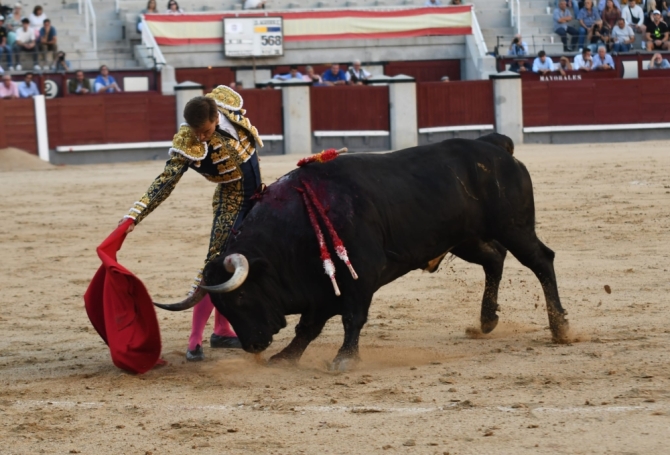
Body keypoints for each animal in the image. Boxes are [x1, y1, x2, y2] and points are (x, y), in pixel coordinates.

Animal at [159, 135, 572, 370]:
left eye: (242, 300)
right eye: (224, 306)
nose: (253, 346)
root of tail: (497, 148)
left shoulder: (358, 276)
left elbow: (351, 318)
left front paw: (344, 359)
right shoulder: (321, 287)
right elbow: (308, 327)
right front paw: (286, 357)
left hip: (514, 226)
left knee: (541, 260)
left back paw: (560, 328)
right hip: (465, 238)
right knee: (494, 259)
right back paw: (487, 321)